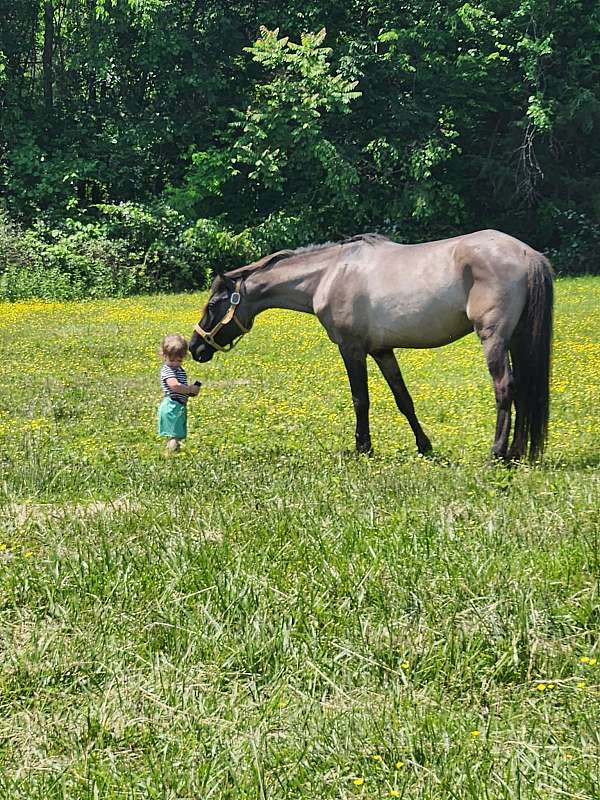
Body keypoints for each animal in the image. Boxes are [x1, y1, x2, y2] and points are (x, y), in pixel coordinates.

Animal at [189, 230, 553, 461]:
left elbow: (360, 400)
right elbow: (404, 399)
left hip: (494, 338)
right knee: (523, 389)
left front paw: (363, 447)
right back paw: (517, 453)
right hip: (516, 339)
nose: (195, 348)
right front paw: (424, 446)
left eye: (213, 305)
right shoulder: (382, 350)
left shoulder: (351, 348)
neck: (328, 274)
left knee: (505, 388)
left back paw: (498, 454)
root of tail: (527, 254)